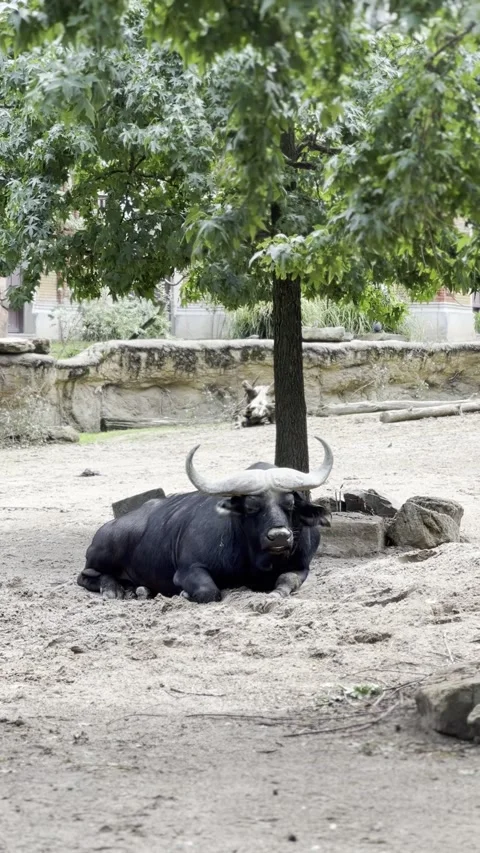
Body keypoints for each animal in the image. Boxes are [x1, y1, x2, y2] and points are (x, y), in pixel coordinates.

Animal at [77, 437, 333, 604]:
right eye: (251, 506)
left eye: (290, 503)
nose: (279, 537)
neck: (257, 559)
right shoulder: (189, 569)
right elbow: (209, 591)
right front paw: (184, 594)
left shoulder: (302, 566)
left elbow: (287, 581)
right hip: (107, 549)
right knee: (86, 576)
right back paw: (113, 590)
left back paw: (138, 590)